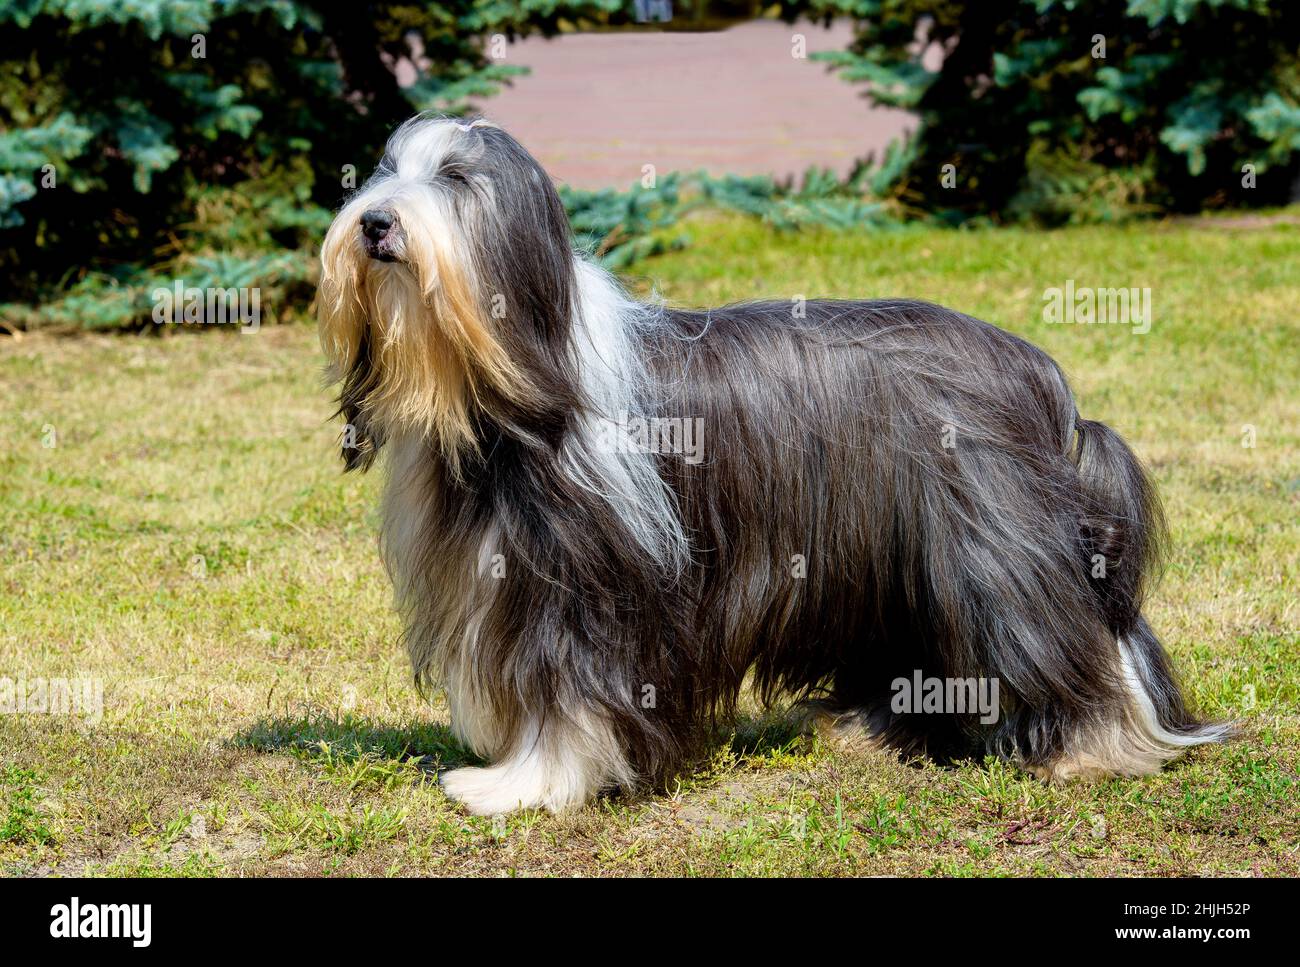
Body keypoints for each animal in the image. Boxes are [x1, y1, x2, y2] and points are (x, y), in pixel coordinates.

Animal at [317, 118, 1227, 816]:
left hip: (992, 547)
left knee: (1065, 632)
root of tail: (1040, 374)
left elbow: (568, 693)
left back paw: (1091, 746)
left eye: (456, 179)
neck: (511, 376)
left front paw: (519, 784)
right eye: (385, 171)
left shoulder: (586, 585)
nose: (375, 224)